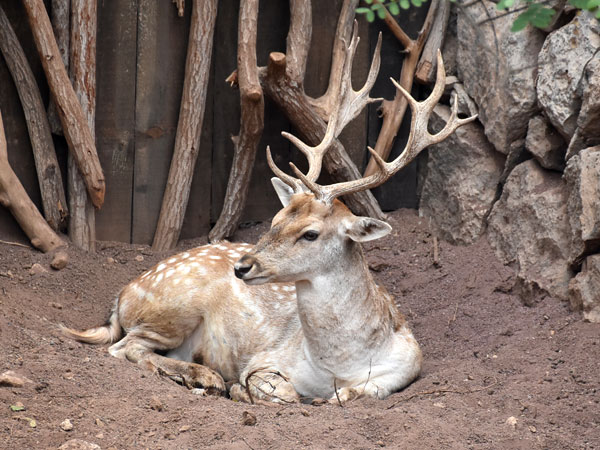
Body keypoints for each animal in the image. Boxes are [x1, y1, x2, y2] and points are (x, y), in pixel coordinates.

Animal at [59, 23, 474, 404]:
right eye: (275, 221)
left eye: (310, 233)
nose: (243, 266)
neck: (341, 366)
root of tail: (122, 297)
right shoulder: (267, 358)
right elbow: (281, 392)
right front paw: (240, 388)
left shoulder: (404, 368)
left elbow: (352, 395)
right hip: (173, 305)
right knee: (124, 347)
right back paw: (205, 376)